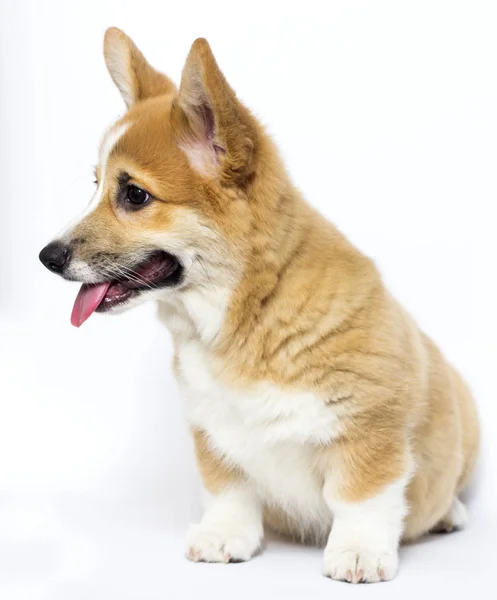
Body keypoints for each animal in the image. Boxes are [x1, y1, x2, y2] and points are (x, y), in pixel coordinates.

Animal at [40, 30, 478, 584]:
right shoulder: (214, 432)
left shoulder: (368, 427)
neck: (246, 313)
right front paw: (224, 538)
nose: (46, 257)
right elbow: (228, 491)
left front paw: (357, 552)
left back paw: (450, 513)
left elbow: (360, 498)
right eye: (96, 186)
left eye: (135, 195)